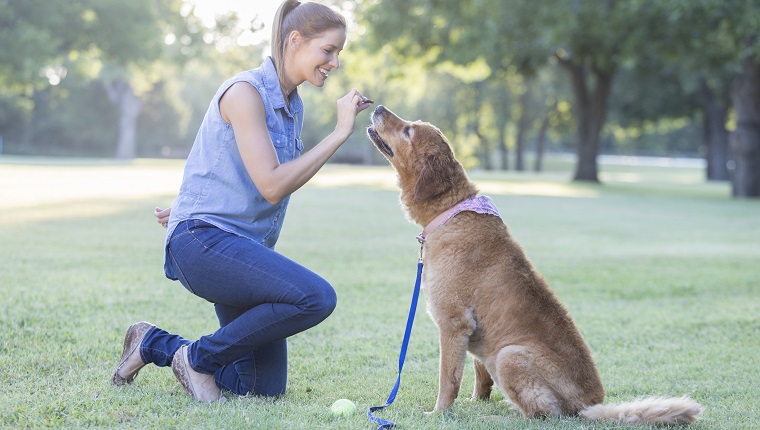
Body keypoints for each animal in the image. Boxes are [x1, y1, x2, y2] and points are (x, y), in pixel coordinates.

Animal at [366, 106, 704, 424]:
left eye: (408, 130)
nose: (378, 107)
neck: (451, 210)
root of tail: (589, 405)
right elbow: (479, 376)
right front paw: (476, 402)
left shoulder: (454, 324)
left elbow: (448, 381)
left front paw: (439, 414)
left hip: (509, 355)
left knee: (540, 413)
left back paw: (498, 417)